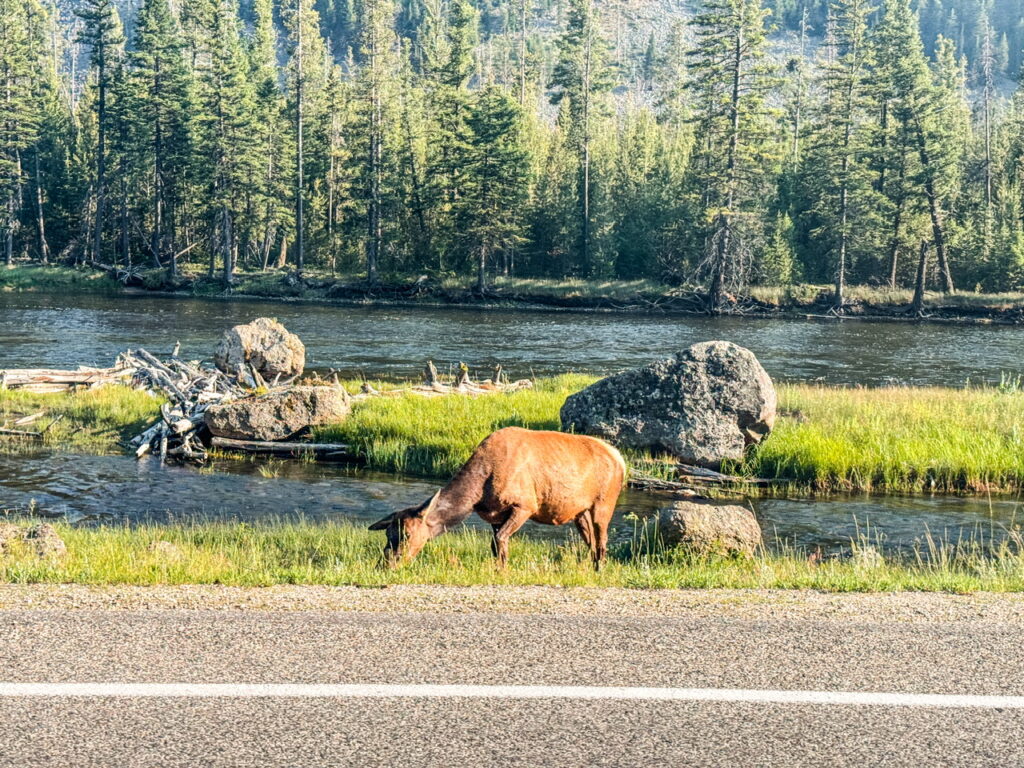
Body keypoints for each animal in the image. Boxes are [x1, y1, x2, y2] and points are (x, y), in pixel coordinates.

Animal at [369, 427, 626, 569]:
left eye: (407, 534)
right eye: (388, 534)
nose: (386, 564)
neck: (479, 492)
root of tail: (620, 459)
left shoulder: (525, 505)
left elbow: (501, 540)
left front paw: (502, 571)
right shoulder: (494, 515)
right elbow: (496, 545)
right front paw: (499, 568)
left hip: (604, 502)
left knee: (602, 541)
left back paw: (600, 570)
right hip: (580, 511)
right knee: (590, 541)